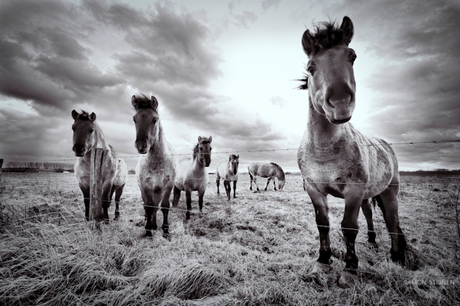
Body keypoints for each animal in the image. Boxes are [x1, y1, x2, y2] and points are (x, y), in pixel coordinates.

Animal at [133, 94, 178, 238]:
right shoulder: (146, 187)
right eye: (134, 119)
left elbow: (164, 206)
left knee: (156, 207)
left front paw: (165, 230)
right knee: (148, 207)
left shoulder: (167, 186)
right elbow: (148, 207)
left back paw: (154, 224)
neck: (157, 162)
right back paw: (149, 223)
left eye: (154, 119)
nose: (141, 146)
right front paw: (148, 231)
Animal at [296, 15, 416, 286]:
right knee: (371, 214)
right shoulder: (314, 189)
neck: (324, 149)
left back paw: (396, 256)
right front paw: (322, 262)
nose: (340, 103)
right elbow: (323, 225)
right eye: (311, 67)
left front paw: (350, 269)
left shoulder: (353, 190)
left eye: (352, 56)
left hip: (390, 192)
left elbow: (349, 227)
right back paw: (373, 241)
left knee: (392, 220)